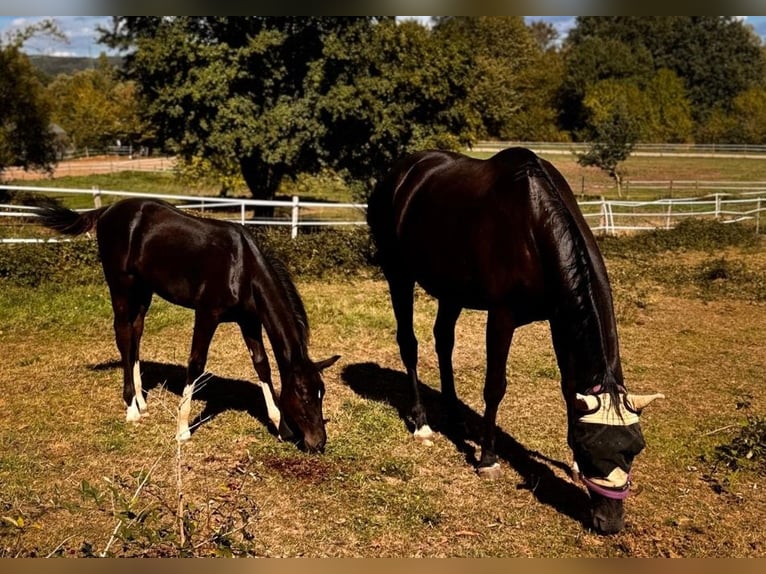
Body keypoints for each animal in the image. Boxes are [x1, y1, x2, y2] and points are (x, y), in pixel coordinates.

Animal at [37, 197, 339, 453]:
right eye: (303, 395)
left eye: (321, 393)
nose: (318, 443)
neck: (241, 267)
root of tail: (108, 210)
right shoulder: (206, 314)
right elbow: (196, 363)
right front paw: (182, 429)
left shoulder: (250, 320)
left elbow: (261, 365)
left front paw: (281, 427)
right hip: (121, 286)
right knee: (123, 334)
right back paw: (132, 407)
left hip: (144, 290)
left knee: (135, 333)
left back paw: (142, 401)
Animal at [366, 147, 664, 534]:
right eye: (589, 449)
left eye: (634, 448)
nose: (609, 523)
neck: (533, 226)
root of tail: (400, 174)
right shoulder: (501, 316)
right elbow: (495, 386)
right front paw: (488, 458)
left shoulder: (559, 318)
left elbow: (569, 388)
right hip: (398, 274)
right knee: (409, 343)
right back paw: (421, 422)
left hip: (451, 290)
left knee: (443, 341)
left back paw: (454, 417)